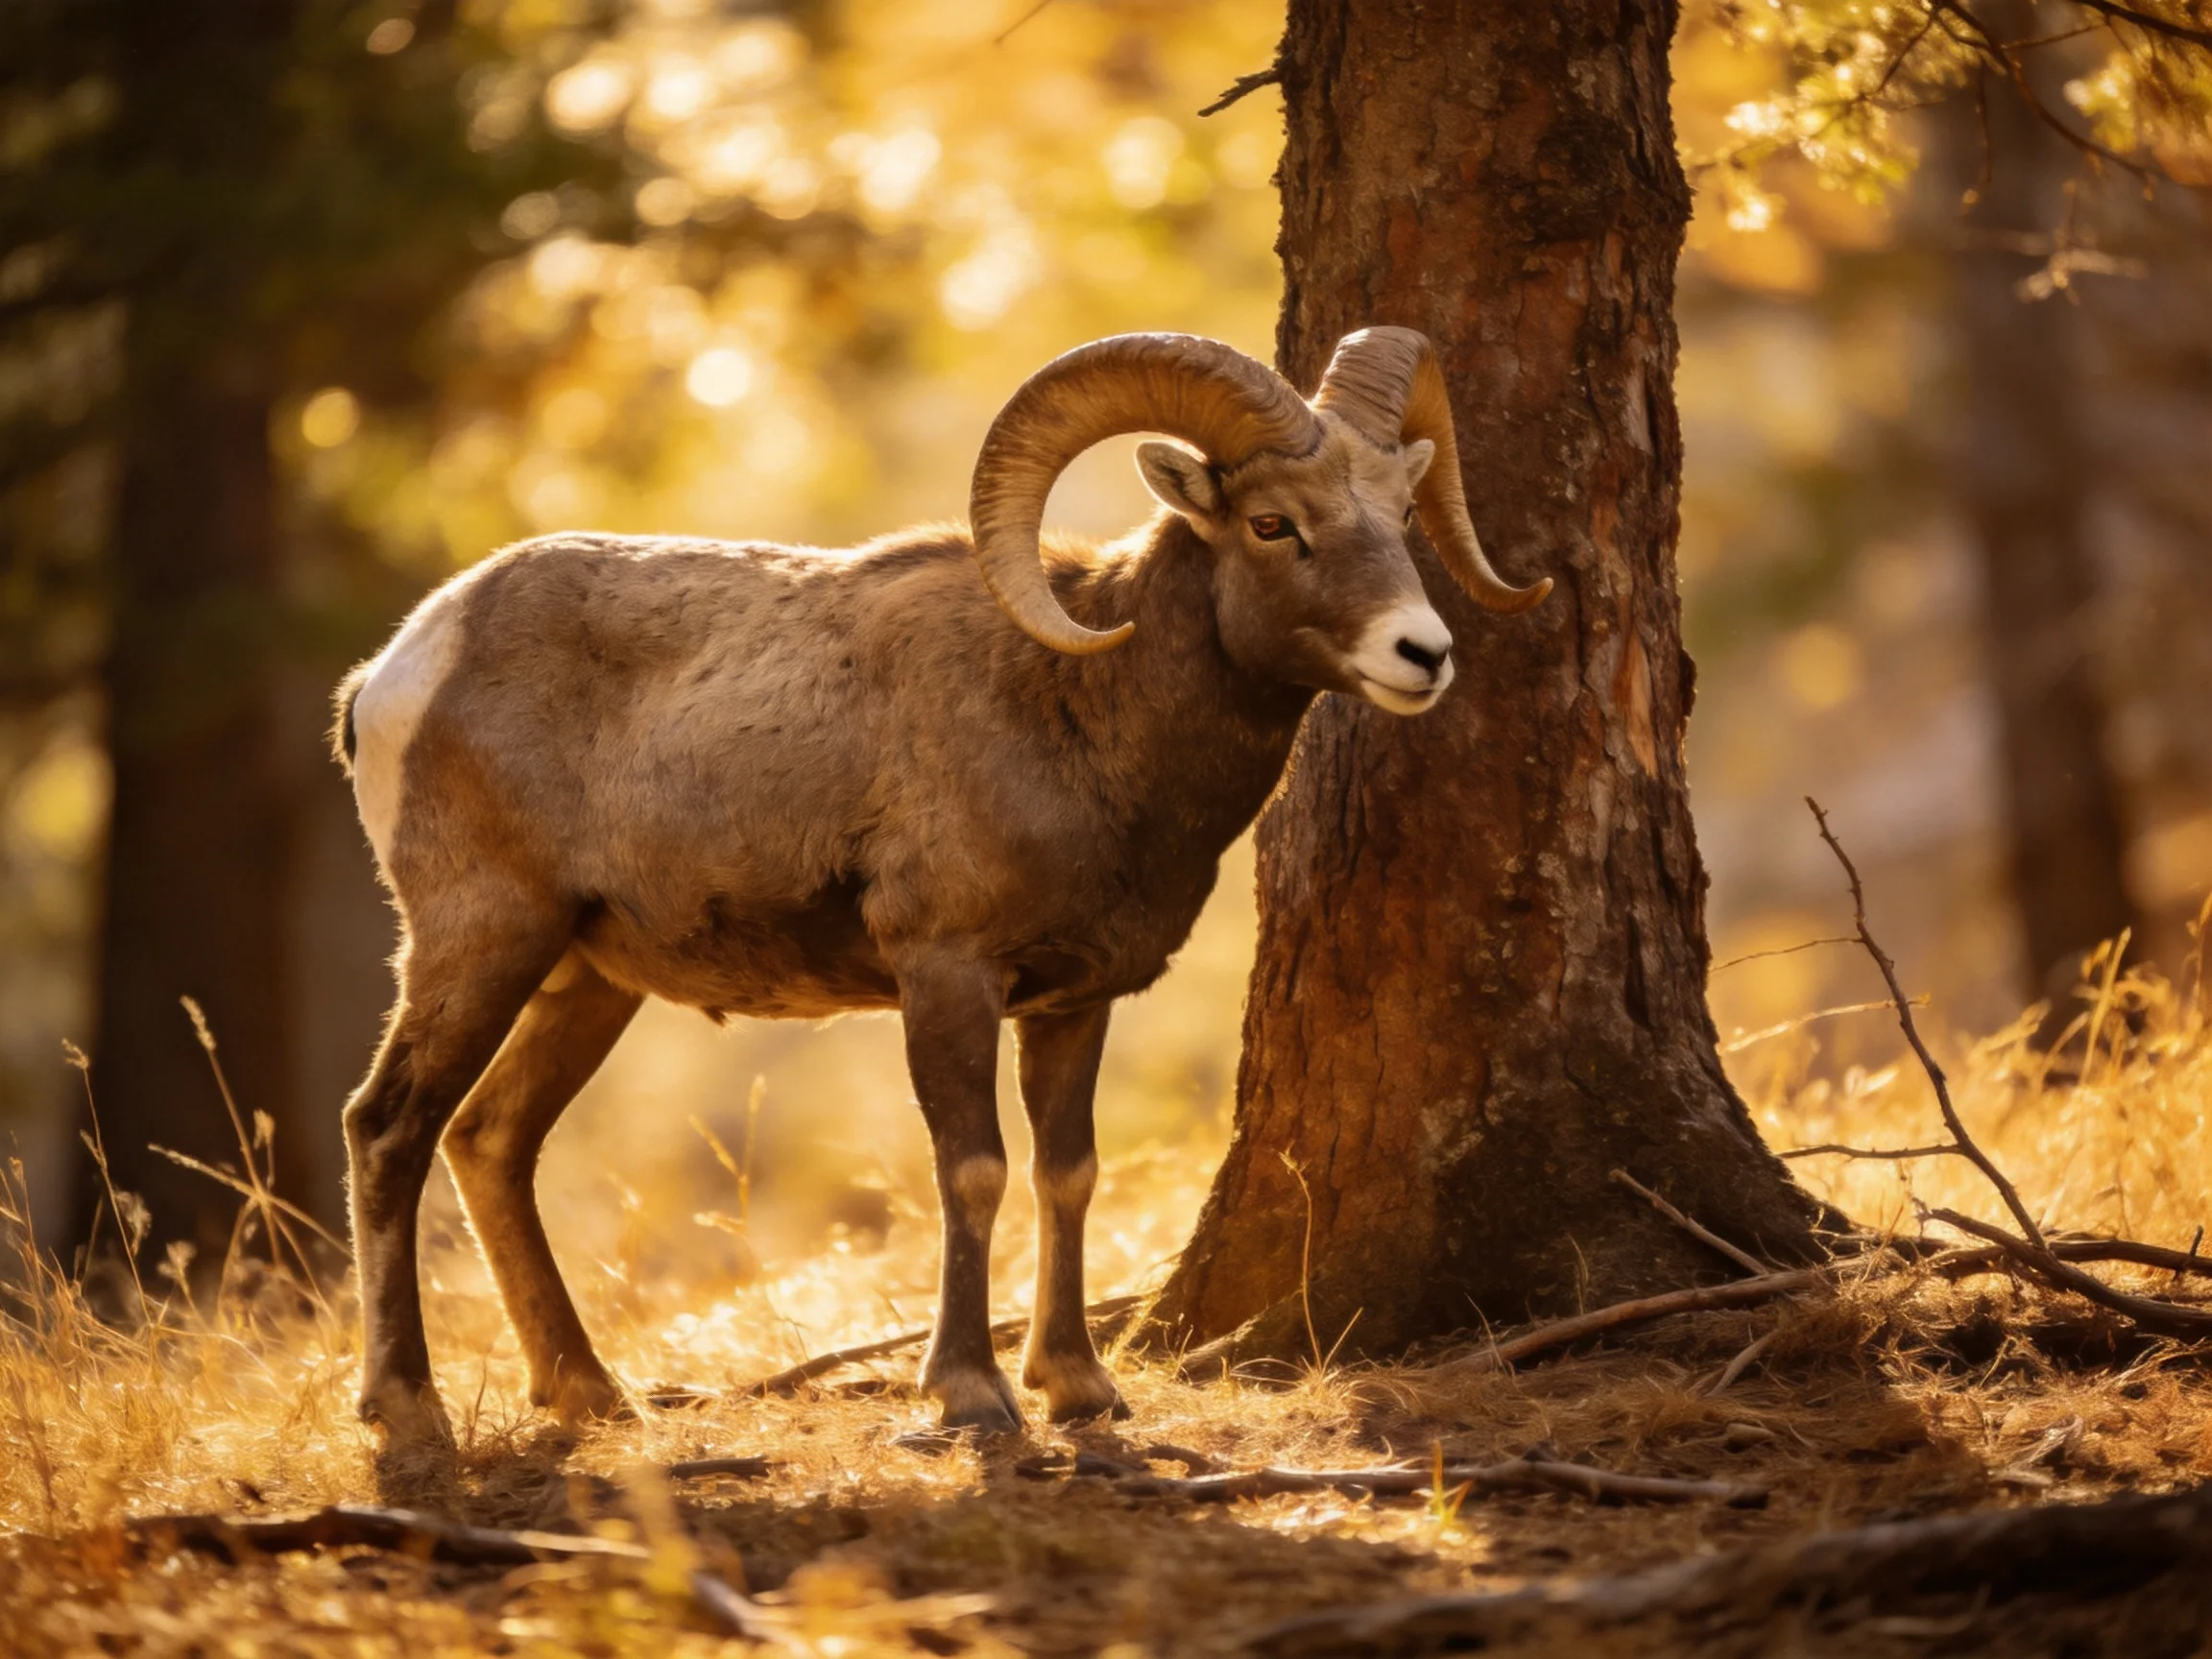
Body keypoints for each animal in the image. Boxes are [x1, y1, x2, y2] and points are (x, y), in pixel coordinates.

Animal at [332, 327, 1551, 1443]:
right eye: (1272, 523)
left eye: (1399, 516)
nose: (1423, 653)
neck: (1077, 713)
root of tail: (394, 672)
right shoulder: (947, 976)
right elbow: (973, 1169)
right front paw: (973, 1394)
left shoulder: (1072, 1002)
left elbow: (1068, 1172)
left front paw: (1081, 1388)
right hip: (482, 941)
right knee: (388, 1127)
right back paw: (406, 1406)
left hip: (586, 980)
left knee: (491, 1141)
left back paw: (592, 1395)